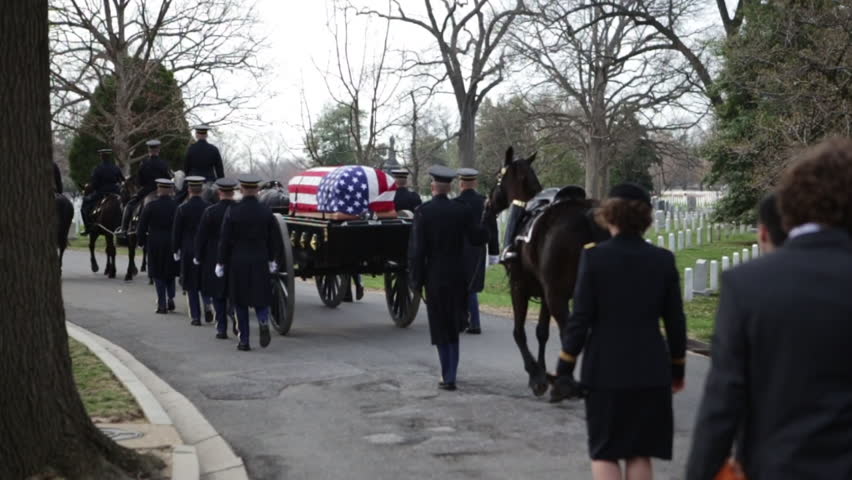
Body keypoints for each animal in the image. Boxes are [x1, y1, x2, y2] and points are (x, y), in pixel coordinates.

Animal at [486, 146, 604, 398]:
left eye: (498, 177)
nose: (487, 203)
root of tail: (586, 217)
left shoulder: (519, 288)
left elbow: (519, 332)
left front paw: (536, 375)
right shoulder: (544, 293)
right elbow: (542, 332)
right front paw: (542, 371)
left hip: (557, 296)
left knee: (570, 333)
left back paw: (566, 383)